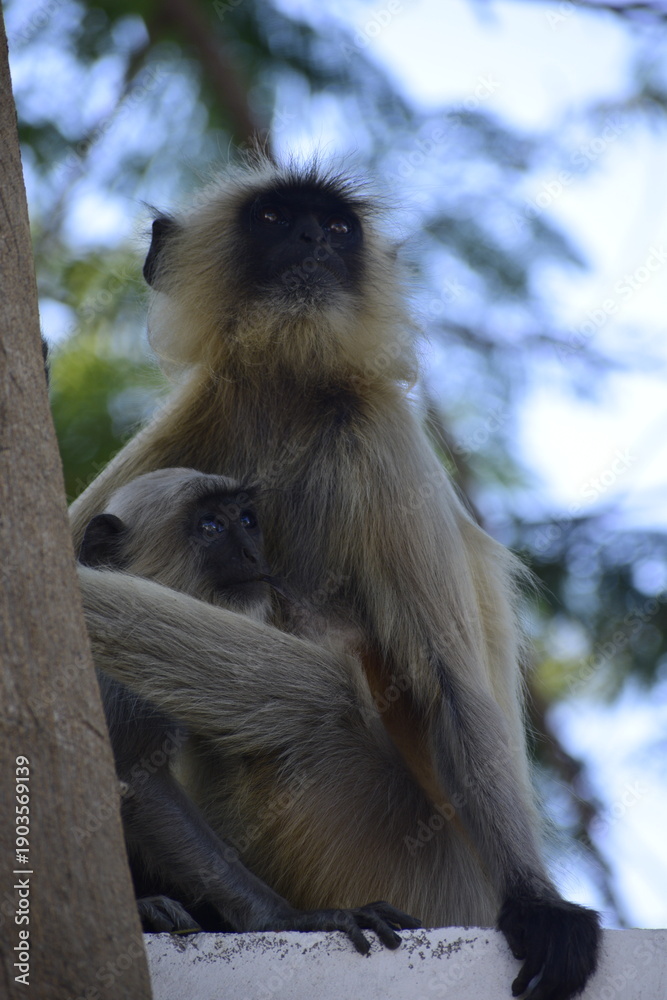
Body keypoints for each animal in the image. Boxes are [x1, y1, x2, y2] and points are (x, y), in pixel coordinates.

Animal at [79, 466, 419, 953]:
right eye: (210, 527)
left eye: (246, 519)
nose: (252, 553)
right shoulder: (120, 664)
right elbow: (136, 777)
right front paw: (287, 917)